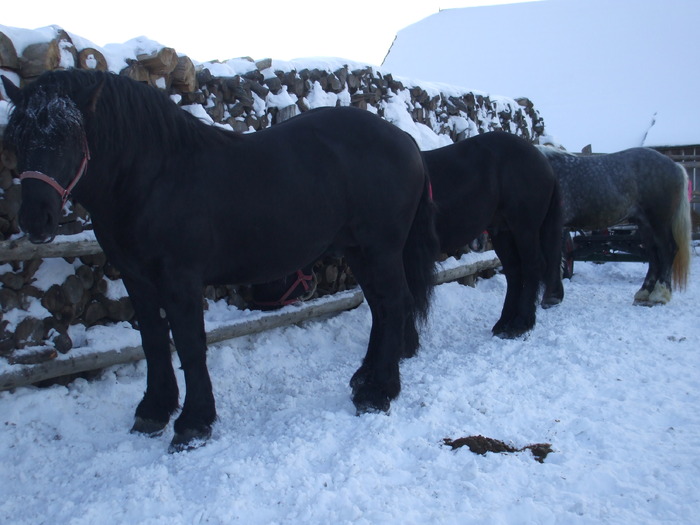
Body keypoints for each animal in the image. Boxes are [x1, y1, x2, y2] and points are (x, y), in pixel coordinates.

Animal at [0, 70, 438, 450]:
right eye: (18, 136)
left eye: (70, 134)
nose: (36, 219)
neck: (154, 177)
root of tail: (404, 139)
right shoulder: (136, 278)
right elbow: (153, 341)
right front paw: (154, 411)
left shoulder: (180, 279)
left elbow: (190, 344)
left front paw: (193, 423)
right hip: (359, 252)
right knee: (381, 308)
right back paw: (365, 379)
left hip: (379, 250)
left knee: (393, 304)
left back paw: (380, 391)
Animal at [426, 131, 564, 336]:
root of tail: (542, 160)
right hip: (503, 232)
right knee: (514, 271)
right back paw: (504, 322)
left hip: (525, 228)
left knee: (533, 266)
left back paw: (521, 323)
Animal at [540, 145, 692, 304]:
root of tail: (675, 166)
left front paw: (551, 298)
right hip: (645, 225)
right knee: (654, 255)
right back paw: (644, 292)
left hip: (659, 222)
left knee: (668, 250)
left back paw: (660, 294)